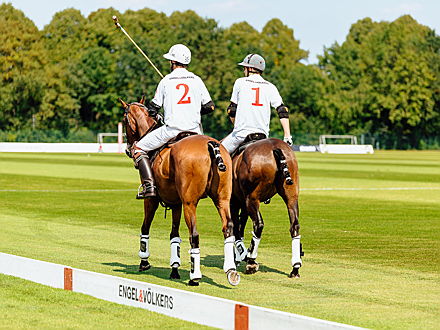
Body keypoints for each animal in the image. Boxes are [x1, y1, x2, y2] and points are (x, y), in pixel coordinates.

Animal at [119, 98, 241, 286]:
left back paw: (194, 276)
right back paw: (231, 271)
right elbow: (174, 235)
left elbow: (145, 227)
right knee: (228, 228)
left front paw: (144, 262)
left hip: (189, 203)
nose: (127, 149)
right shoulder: (175, 203)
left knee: (195, 234)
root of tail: (211, 145)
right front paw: (174, 268)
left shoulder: (151, 200)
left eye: (124, 120)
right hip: (222, 199)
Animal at [230, 137, 302, 278]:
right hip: (291, 195)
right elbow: (240, 227)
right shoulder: (242, 204)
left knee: (258, 225)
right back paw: (295, 268)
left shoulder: (234, 203)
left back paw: (251, 262)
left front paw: (242, 255)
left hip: (252, 198)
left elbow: (236, 229)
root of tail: (275, 148)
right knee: (294, 225)